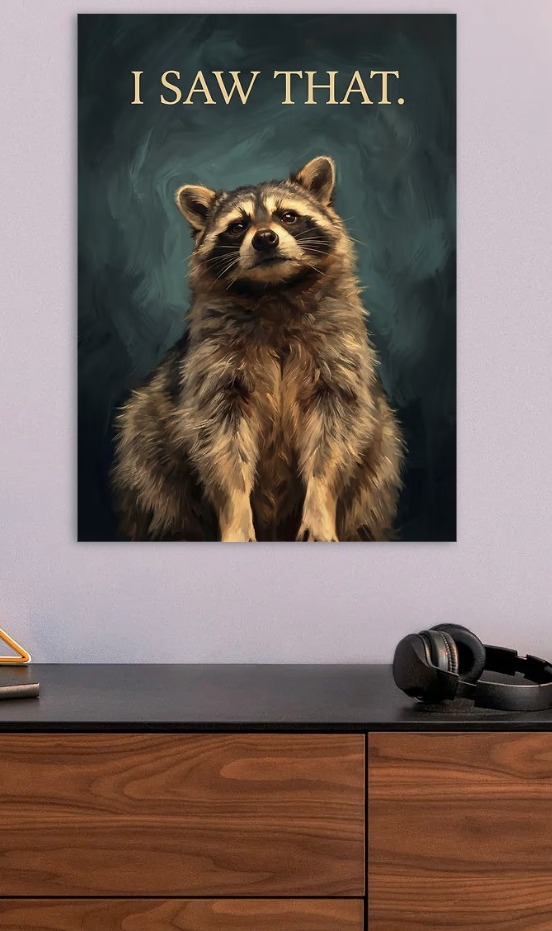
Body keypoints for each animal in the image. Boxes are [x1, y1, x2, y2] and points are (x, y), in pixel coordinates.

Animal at [112, 156, 404, 541]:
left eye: (288, 216)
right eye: (238, 226)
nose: (265, 238)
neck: (274, 291)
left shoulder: (338, 354)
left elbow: (333, 440)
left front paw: (320, 508)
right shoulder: (213, 368)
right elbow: (221, 448)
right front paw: (236, 516)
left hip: (379, 467)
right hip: (145, 450)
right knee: (153, 484)